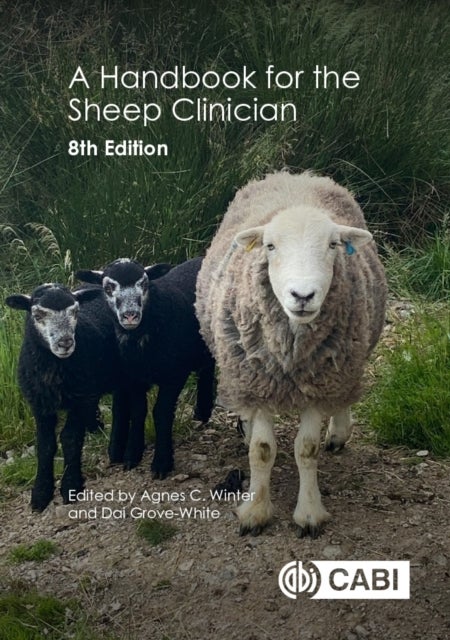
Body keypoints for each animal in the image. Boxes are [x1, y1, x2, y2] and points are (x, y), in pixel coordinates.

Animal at [5, 283, 140, 512]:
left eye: (76, 311)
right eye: (37, 314)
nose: (65, 343)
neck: (54, 369)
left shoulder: (79, 399)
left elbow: (70, 438)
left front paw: (70, 484)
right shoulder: (40, 404)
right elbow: (45, 444)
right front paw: (40, 493)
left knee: (126, 405)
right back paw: (98, 429)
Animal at [76, 257, 216, 479]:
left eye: (144, 284)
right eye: (108, 288)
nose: (130, 316)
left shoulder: (174, 374)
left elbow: (161, 413)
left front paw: (161, 463)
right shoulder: (134, 378)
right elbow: (138, 411)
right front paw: (132, 455)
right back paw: (202, 412)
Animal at [195, 171, 387, 537]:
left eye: (332, 244)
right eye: (270, 246)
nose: (302, 295)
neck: (291, 355)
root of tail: (296, 174)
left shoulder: (321, 380)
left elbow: (307, 449)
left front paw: (310, 513)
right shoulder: (256, 380)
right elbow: (262, 450)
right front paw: (255, 511)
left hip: (349, 357)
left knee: (344, 397)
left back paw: (338, 432)